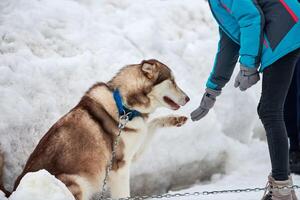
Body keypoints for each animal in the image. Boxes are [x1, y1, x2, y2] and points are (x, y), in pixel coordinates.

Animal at [0, 59, 189, 200]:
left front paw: (175, 120)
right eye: (172, 81)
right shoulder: (119, 166)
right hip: (76, 182)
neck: (125, 107)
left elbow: (153, 123)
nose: (188, 98)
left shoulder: (134, 149)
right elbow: (124, 194)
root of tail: (14, 191)